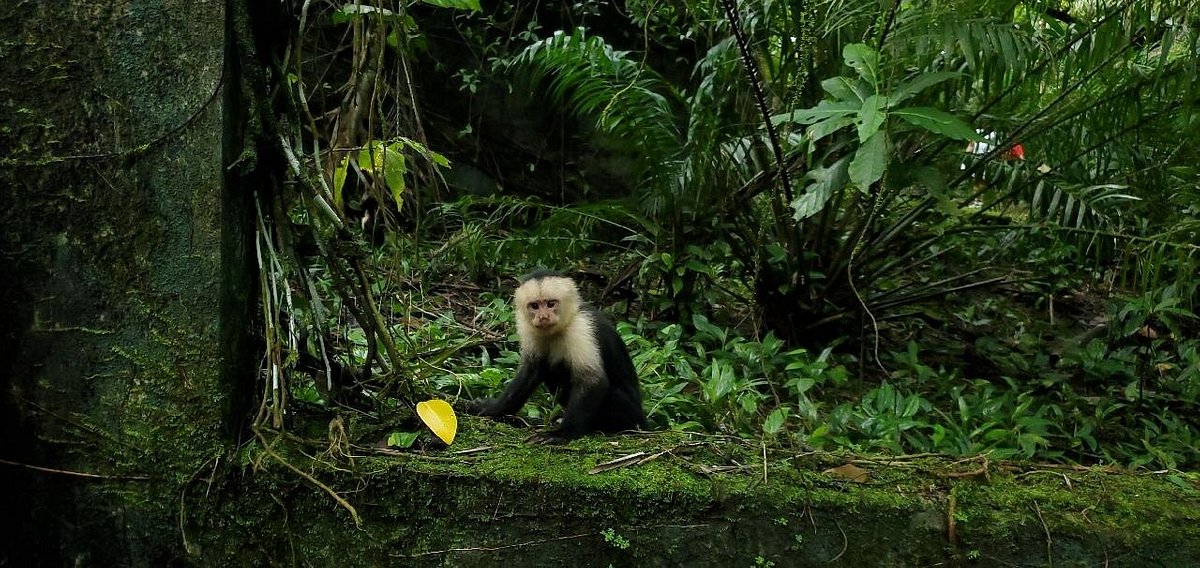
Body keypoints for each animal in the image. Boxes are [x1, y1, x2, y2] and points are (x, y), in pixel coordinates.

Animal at [465, 268, 648, 441]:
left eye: (551, 303)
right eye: (535, 306)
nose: (543, 317)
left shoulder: (582, 327)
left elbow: (592, 380)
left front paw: (561, 434)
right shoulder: (527, 328)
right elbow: (530, 371)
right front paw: (491, 409)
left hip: (631, 415)